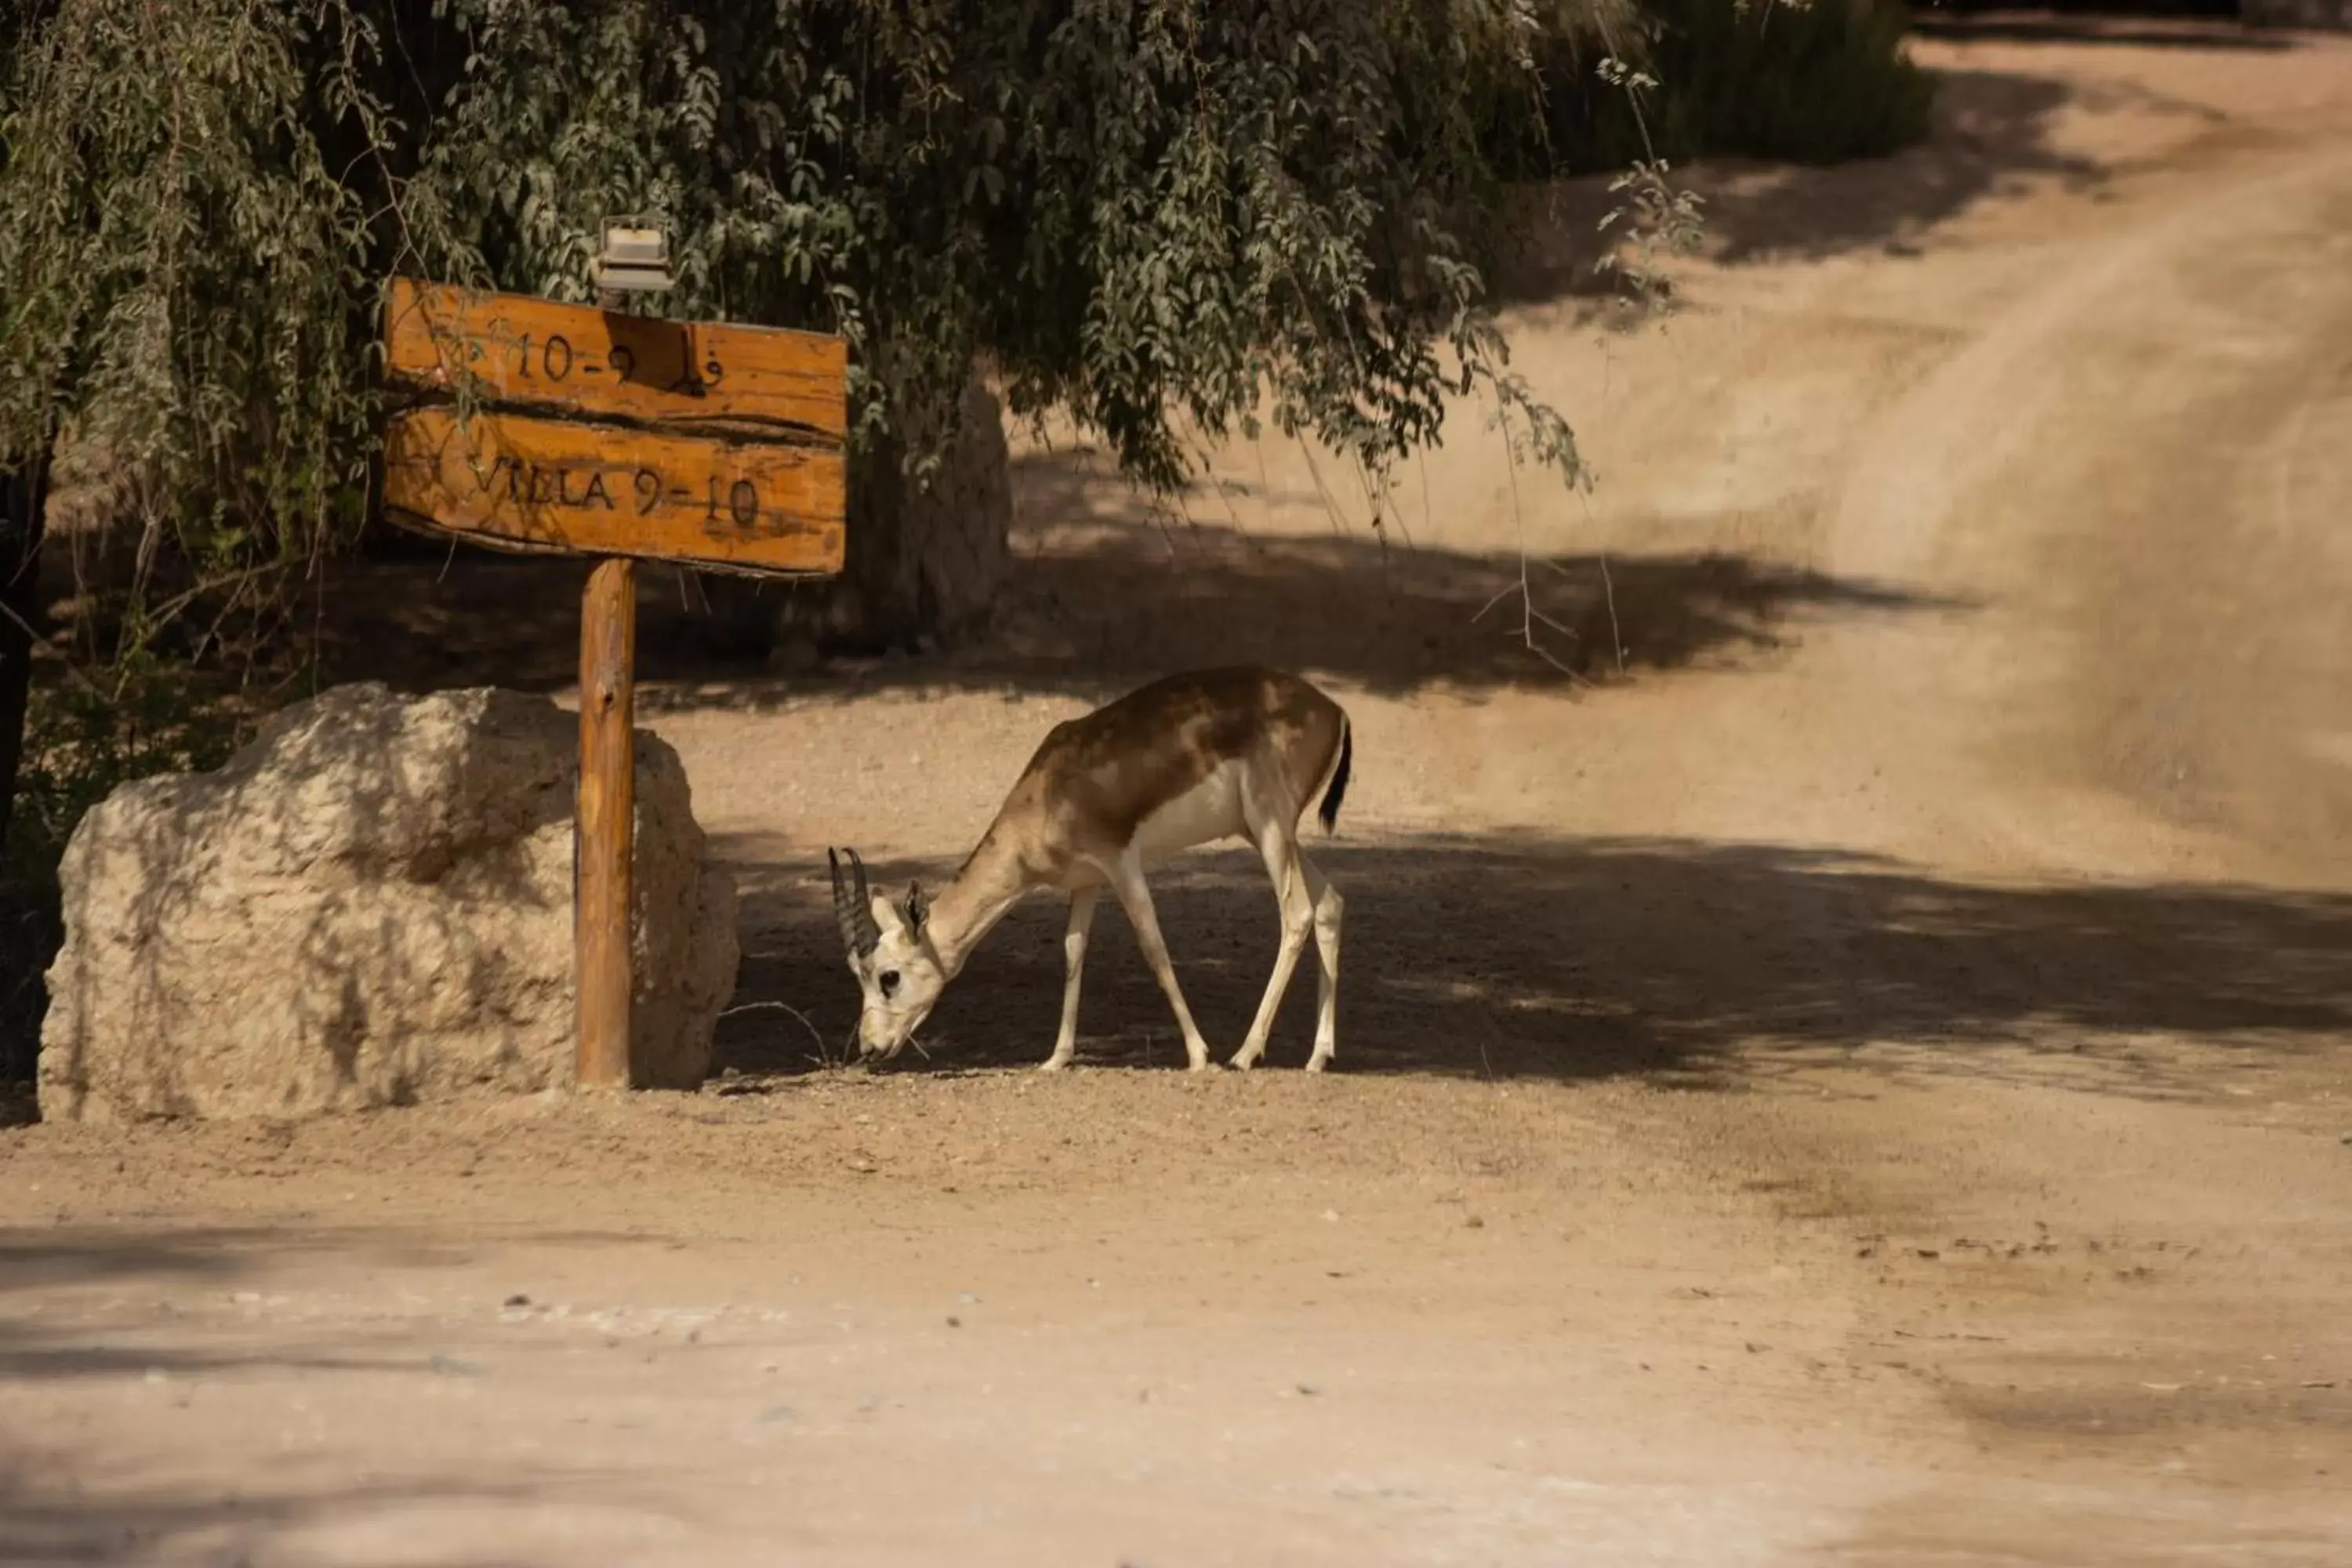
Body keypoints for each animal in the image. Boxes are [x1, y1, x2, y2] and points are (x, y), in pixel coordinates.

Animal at [828, 667, 1355, 1072]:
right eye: (860, 975)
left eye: (888, 977)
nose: (870, 1047)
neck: (1051, 790)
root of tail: (1332, 709)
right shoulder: (1085, 882)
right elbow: (1073, 952)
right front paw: (1056, 1059)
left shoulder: (1121, 863)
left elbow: (1154, 949)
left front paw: (1198, 1055)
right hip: (1264, 833)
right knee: (1330, 902)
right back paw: (1318, 1057)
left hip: (1270, 829)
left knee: (1297, 915)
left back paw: (1245, 1054)